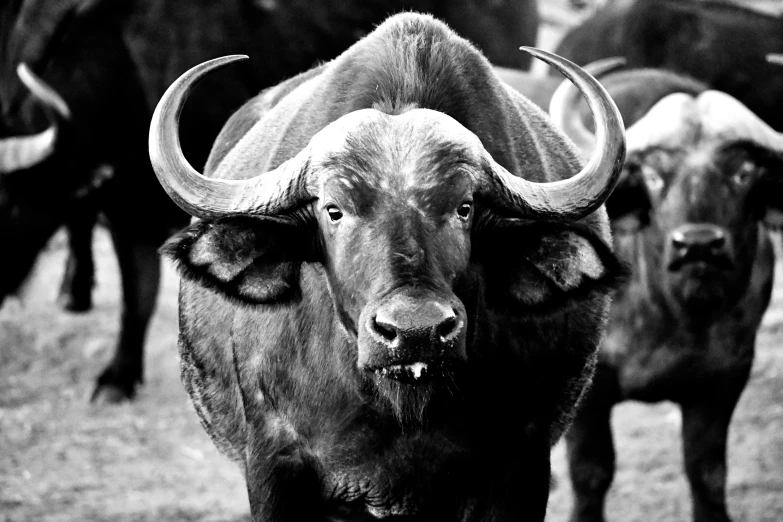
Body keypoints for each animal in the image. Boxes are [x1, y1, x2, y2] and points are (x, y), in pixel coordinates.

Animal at [145, 12, 624, 520]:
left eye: (465, 207)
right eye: (333, 209)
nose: (416, 331)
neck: (400, 406)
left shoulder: (523, 462)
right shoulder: (274, 461)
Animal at [552, 63, 783, 516]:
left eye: (743, 173)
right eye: (655, 176)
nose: (698, 244)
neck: (672, 313)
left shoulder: (723, 382)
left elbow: (707, 476)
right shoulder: (587, 393)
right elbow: (591, 475)